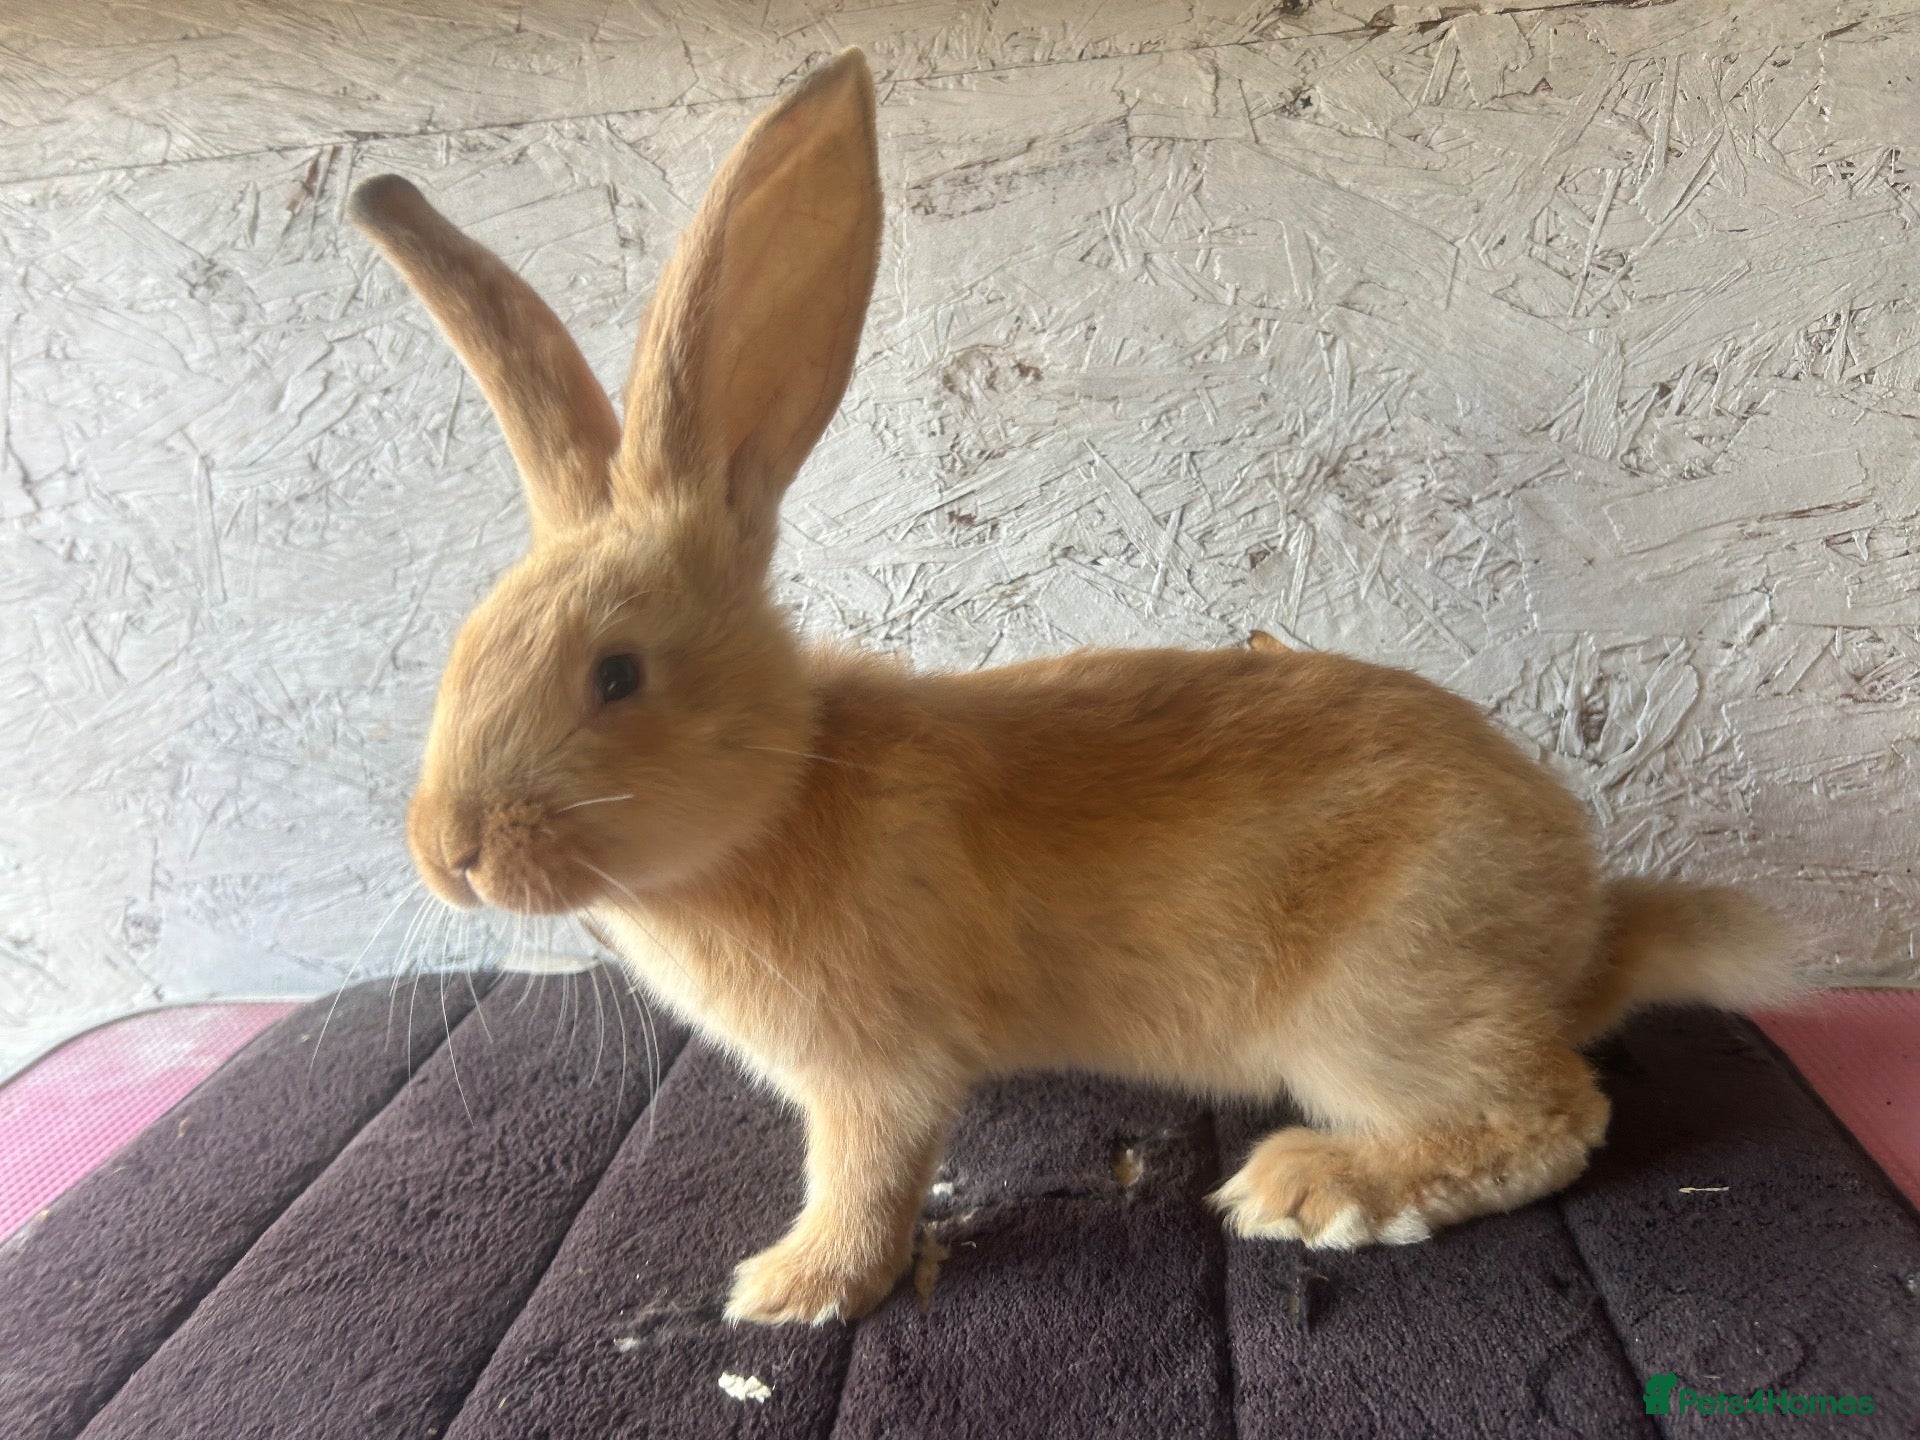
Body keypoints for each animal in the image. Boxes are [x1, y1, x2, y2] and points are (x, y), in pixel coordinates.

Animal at [349, 48, 1798, 1326]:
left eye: (616, 674)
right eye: (463, 652)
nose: (447, 855)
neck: (787, 790)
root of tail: (1580, 922)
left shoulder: (879, 1070)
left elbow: (867, 1179)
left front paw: (792, 1290)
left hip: (1377, 1008)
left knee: (1553, 1116)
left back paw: (1313, 1189)